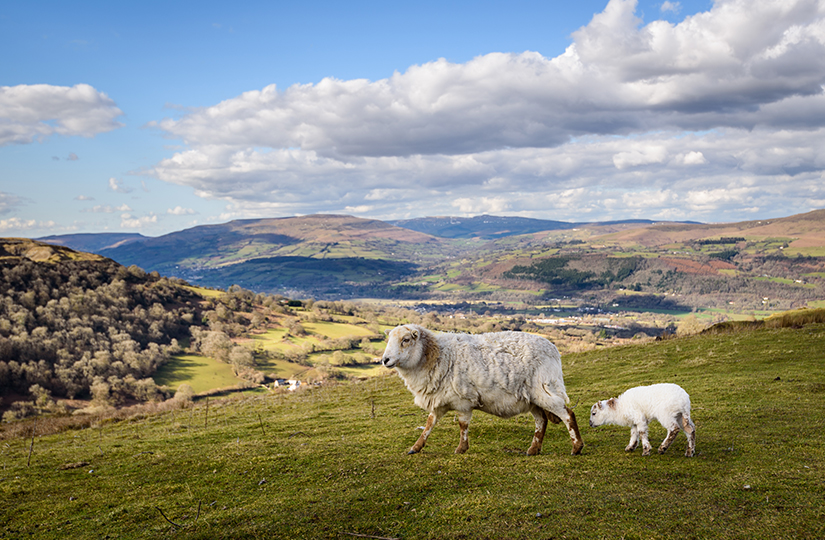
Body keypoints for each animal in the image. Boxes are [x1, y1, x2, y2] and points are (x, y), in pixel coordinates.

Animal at [382, 324, 584, 456]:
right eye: (388, 340)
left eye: (406, 340)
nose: (384, 360)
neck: (437, 355)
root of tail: (553, 349)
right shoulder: (439, 399)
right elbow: (429, 424)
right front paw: (415, 448)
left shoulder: (463, 401)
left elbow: (463, 425)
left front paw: (461, 449)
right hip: (533, 398)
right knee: (541, 421)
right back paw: (533, 450)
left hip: (545, 389)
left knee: (567, 414)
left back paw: (576, 447)